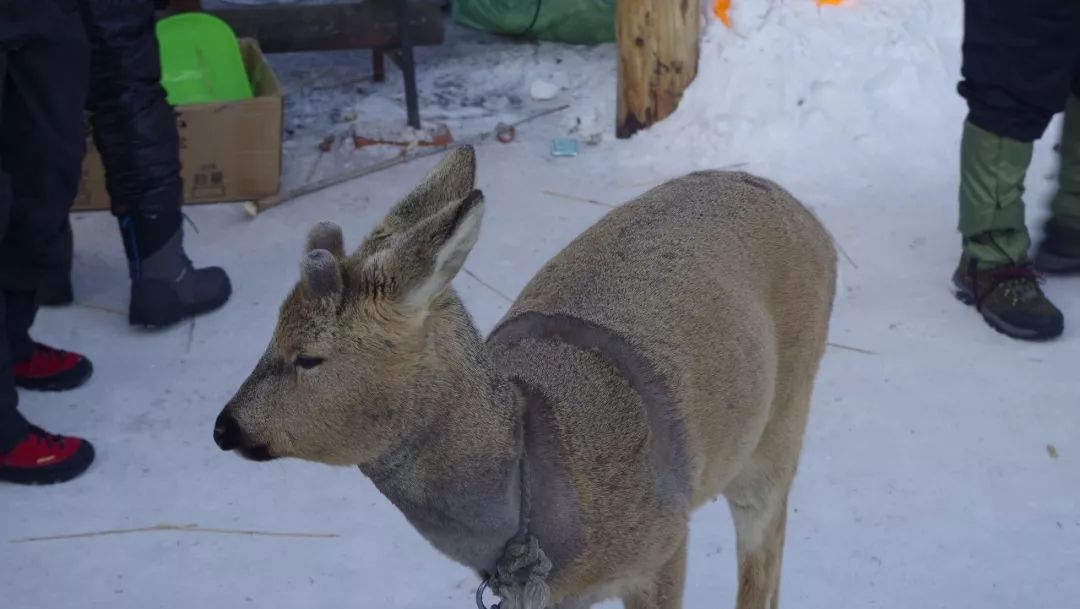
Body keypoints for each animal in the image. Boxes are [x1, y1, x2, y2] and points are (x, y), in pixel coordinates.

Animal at [210, 145, 833, 609]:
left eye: (308, 357)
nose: (223, 428)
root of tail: (809, 216)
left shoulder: (663, 544)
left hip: (780, 422)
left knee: (765, 548)